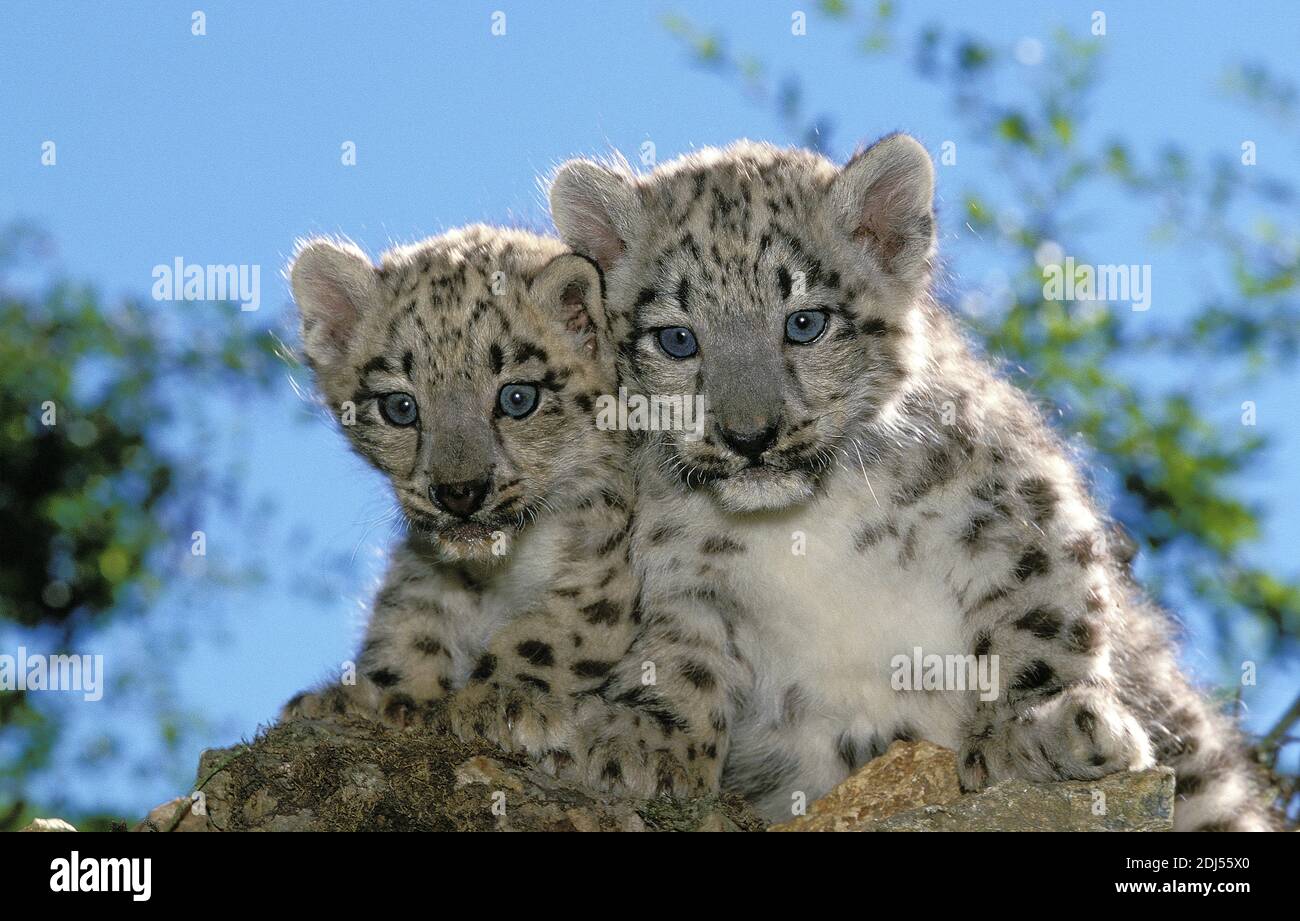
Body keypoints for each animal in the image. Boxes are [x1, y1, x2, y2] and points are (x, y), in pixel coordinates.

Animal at [280, 225, 641, 772]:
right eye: (399, 406)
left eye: (518, 397)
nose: (459, 493)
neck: (501, 573)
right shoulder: (425, 558)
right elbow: (410, 615)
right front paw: (370, 694)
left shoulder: (610, 557)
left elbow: (558, 626)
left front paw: (501, 701)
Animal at [547, 134, 1276, 830]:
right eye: (676, 339)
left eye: (805, 322)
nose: (749, 436)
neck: (799, 523)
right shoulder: (675, 567)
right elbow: (676, 651)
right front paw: (644, 739)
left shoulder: (1015, 503)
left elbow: (1046, 611)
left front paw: (1034, 730)